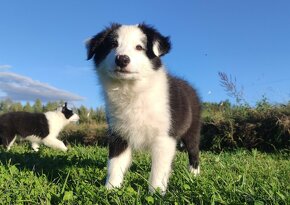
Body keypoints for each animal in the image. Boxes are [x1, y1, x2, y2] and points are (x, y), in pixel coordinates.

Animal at [86, 23, 202, 193]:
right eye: (113, 44)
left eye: (139, 47)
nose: (122, 59)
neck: (132, 90)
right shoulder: (118, 134)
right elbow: (115, 163)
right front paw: (110, 189)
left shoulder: (164, 137)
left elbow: (159, 169)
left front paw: (156, 192)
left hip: (192, 130)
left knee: (194, 151)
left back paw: (193, 174)